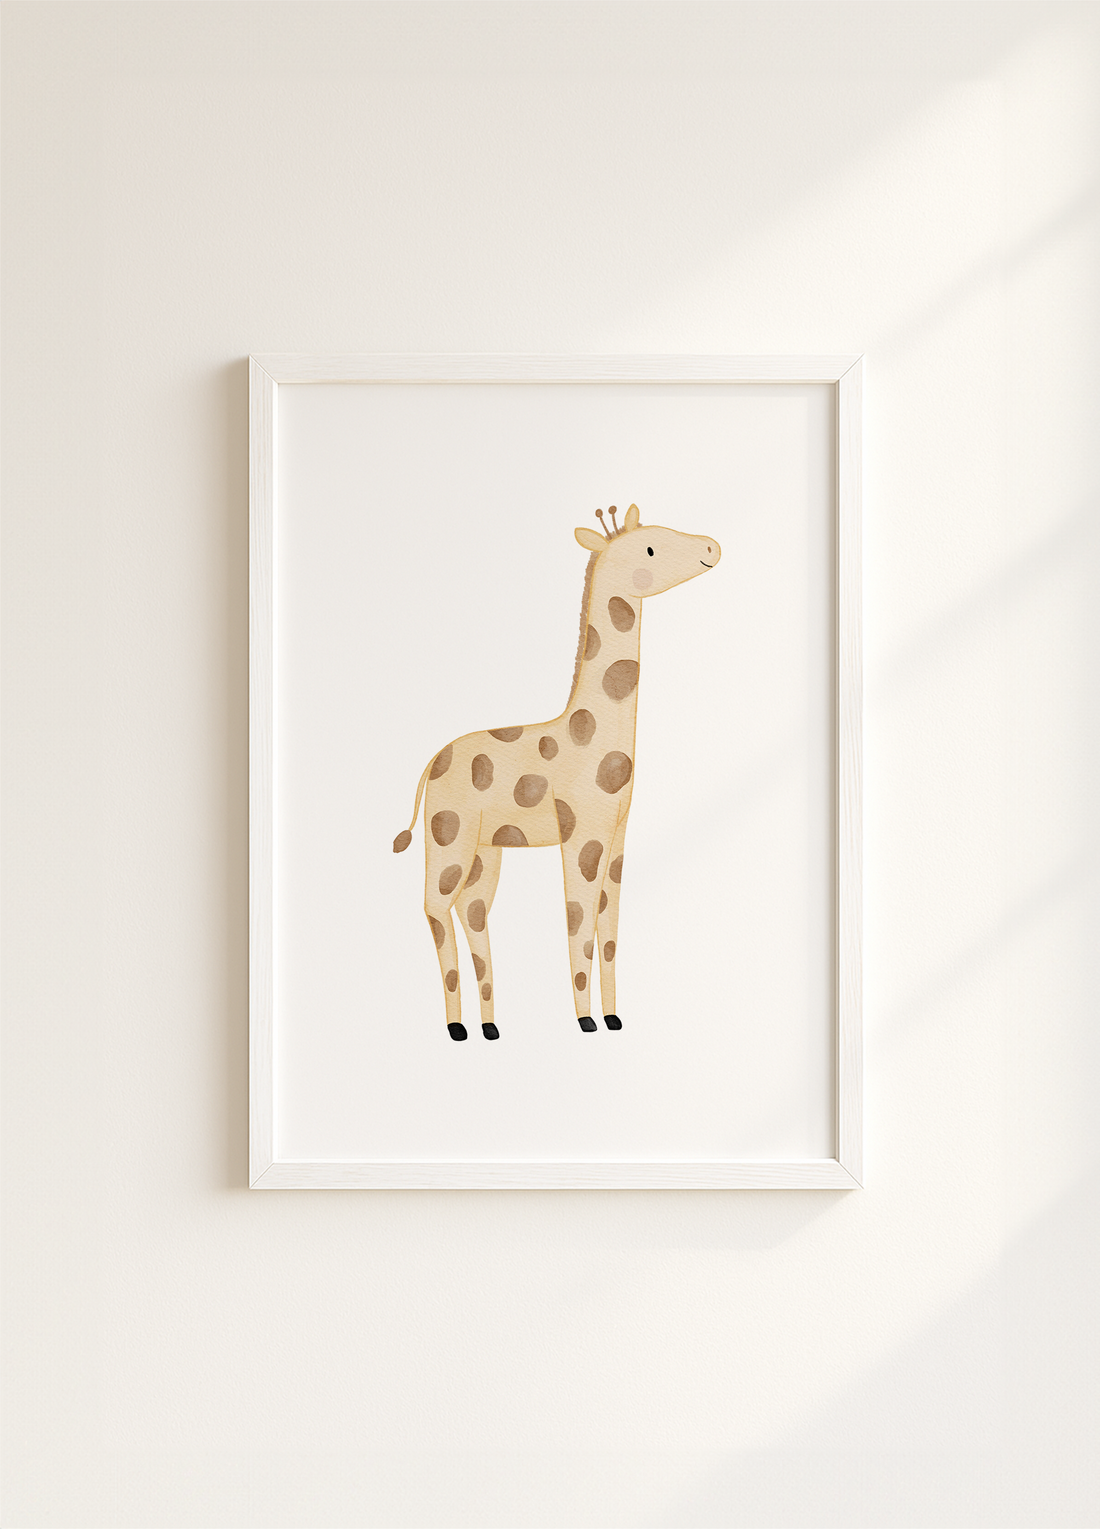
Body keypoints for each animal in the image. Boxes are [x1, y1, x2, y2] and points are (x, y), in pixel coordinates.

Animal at [393, 503, 721, 1040]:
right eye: (652, 547)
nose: (712, 547)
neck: (591, 734)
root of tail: (430, 765)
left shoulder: (617, 832)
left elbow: (608, 929)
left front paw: (613, 1017)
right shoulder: (581, 832)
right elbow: (580, 923)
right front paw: (586, 1020)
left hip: (485, 848)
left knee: (472, 910)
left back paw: (489, 1026)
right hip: (449, 834)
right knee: (435, 907)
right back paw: (456, 1027)